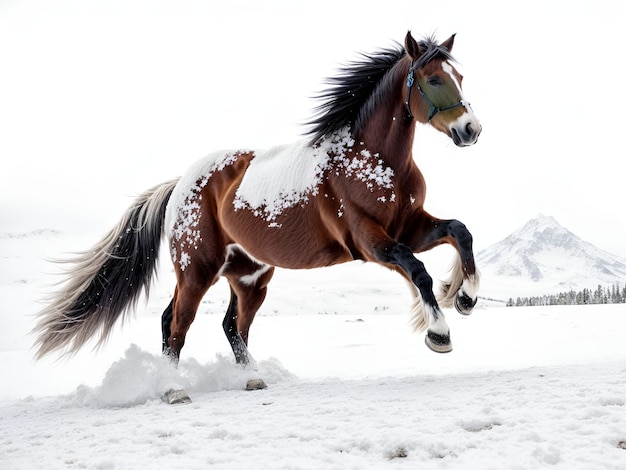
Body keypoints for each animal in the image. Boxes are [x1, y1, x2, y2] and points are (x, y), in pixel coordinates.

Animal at [33, 31, 482, 402]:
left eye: (460, 75)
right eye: (434, 79)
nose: (471, 130)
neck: (373, 160)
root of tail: (180, 184)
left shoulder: (410, 225)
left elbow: (461, 232)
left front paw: (466, 297)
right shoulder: (370, 241)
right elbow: (417, 268)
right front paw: (439, 333)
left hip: (250, 276)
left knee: (232, 325)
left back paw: (250, 378)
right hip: (197, 269)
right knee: (177, 323)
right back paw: (173, 389)